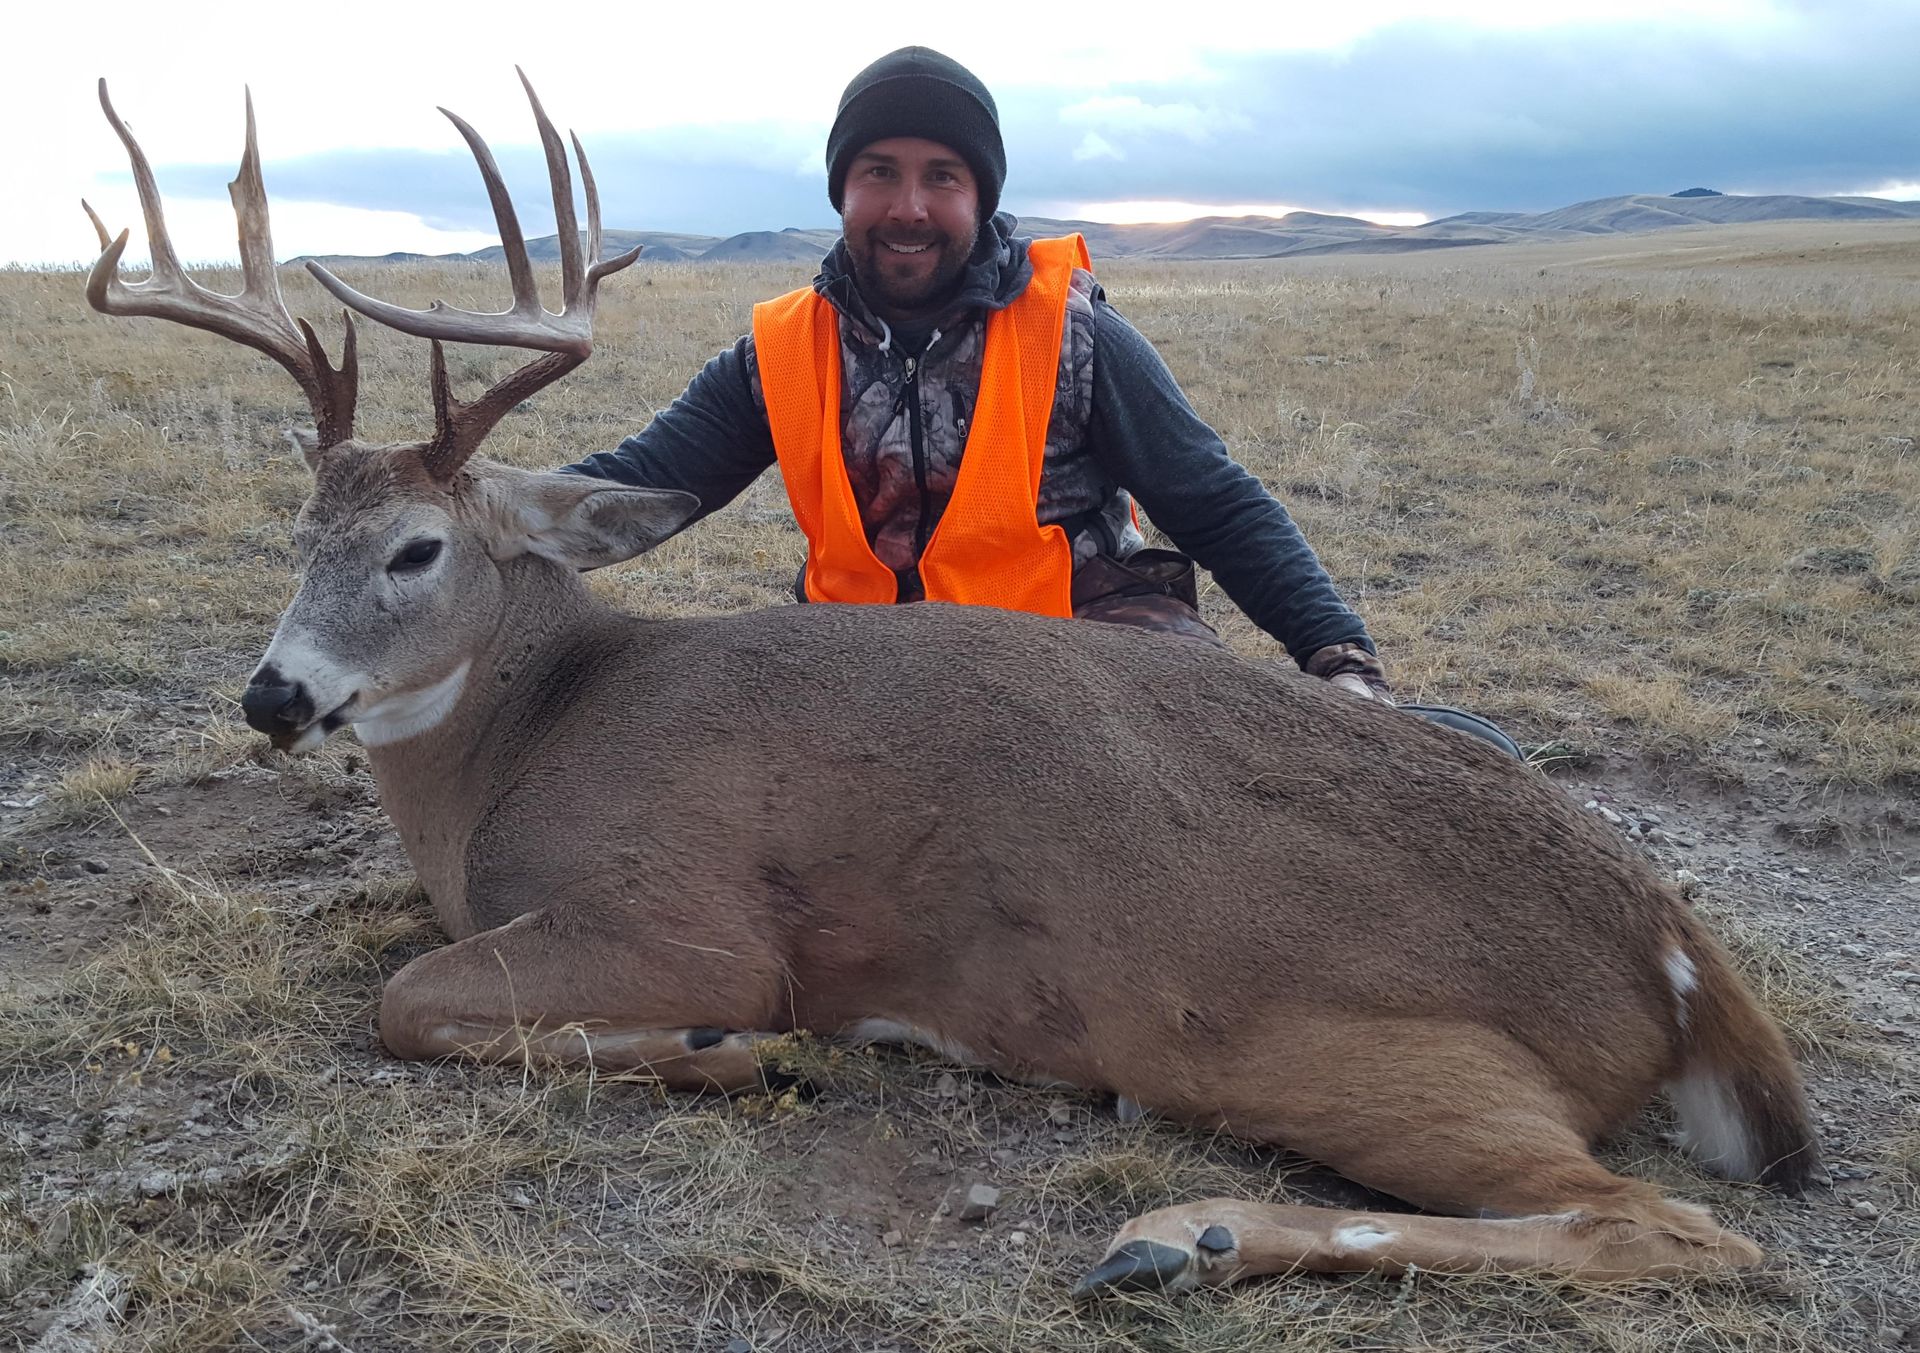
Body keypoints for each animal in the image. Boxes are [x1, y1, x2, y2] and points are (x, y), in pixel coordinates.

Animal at [82, 73, 1819, 1299]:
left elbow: (409, 1003)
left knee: (1664, 1228)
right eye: (296, 534)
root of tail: (1675, 945)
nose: (273, 695)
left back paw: (1180, 1237)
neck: (530, 736)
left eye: (419, 548)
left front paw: (749, 1055)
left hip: (1348, 1040)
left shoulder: (687, 912)